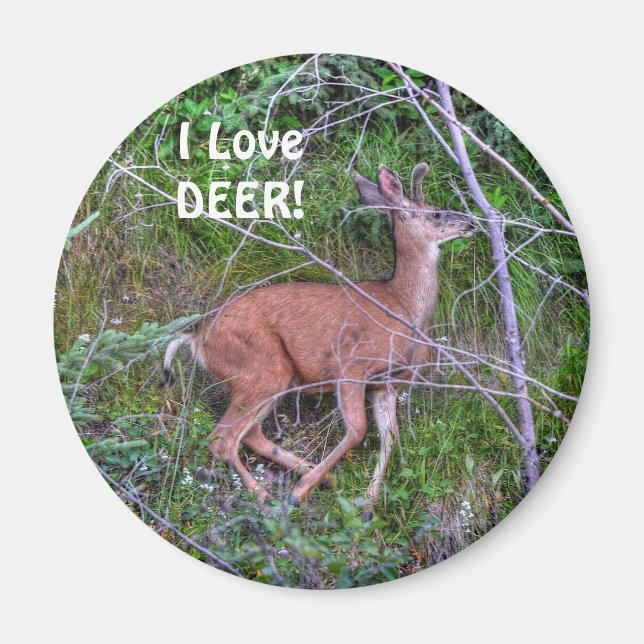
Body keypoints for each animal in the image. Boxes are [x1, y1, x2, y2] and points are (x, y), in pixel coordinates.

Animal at [163, 163, 476, 519]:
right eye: (435, 213)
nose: (470, 222)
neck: (402, 308)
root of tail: (197, 337)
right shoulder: (351, 363)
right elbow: (358, 429)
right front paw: (302, 492)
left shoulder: (387, 383)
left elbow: (390, 438)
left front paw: (368, 503)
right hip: (261, 366)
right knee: (221, 439)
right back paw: (273, 498)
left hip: (270, 377)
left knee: (248, 433)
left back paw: (318, 479)